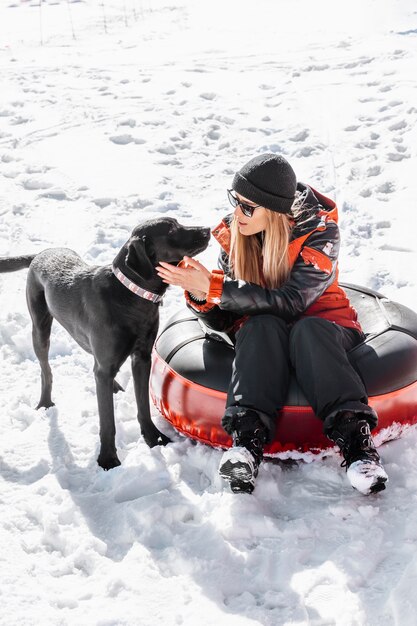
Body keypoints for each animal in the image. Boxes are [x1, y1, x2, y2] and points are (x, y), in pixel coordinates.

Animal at [0, 217, 208, 466]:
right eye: (172, 229)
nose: (207, 229)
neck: (132, 296)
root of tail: (41, 253)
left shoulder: (142, 358)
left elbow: (143, 405)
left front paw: (153, 438)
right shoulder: (111, 363)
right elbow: (107, 421)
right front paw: (108, 459)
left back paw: (114, 385)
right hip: (40, 327)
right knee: (46, 370)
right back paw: (45, 403)